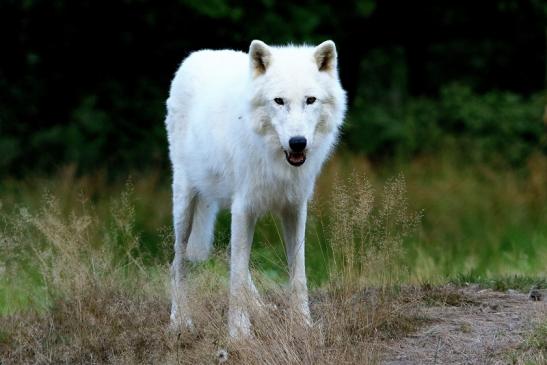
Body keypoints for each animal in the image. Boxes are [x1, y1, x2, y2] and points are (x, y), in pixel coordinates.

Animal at [166, 39, 346, 336]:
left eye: (310, 100)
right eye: (279, 101)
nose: (298, 142)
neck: (275, 157)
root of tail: (195, 56)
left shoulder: (294, 208)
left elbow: (298, 273)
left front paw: (303, 324)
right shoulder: (244, 208)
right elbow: (236, 277)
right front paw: (239, 333)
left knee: (230, 255)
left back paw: (261, 310)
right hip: (185, 202)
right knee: (178, 262)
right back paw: (179, 321)